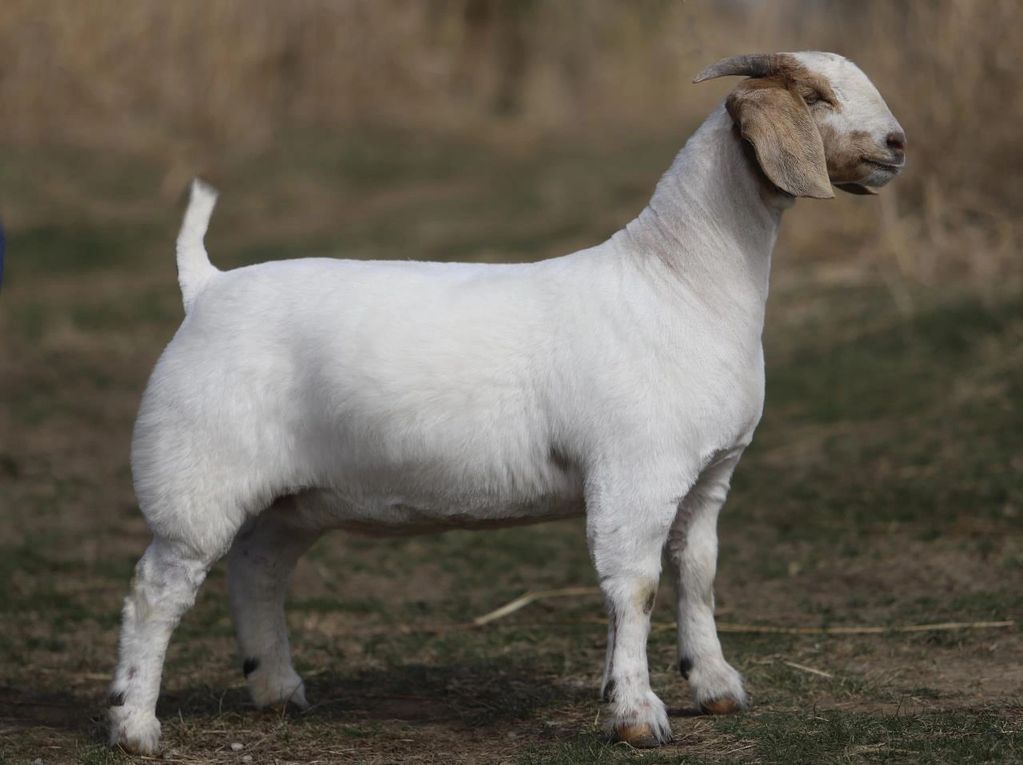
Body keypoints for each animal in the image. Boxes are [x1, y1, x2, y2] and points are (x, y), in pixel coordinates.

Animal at [109, 52, 905, 752]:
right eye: (815, 98)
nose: (897, 143)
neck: (675, 282)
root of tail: (206, 286)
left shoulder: (708, 476)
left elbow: (697, 574)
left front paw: (712, 685)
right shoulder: (636, 474)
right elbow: (636, 588)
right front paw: (636, 715)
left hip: (292, 496)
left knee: (258, 570)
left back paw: (277, 689)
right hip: (196, 480)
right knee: (155, 592)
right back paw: (136, 726)